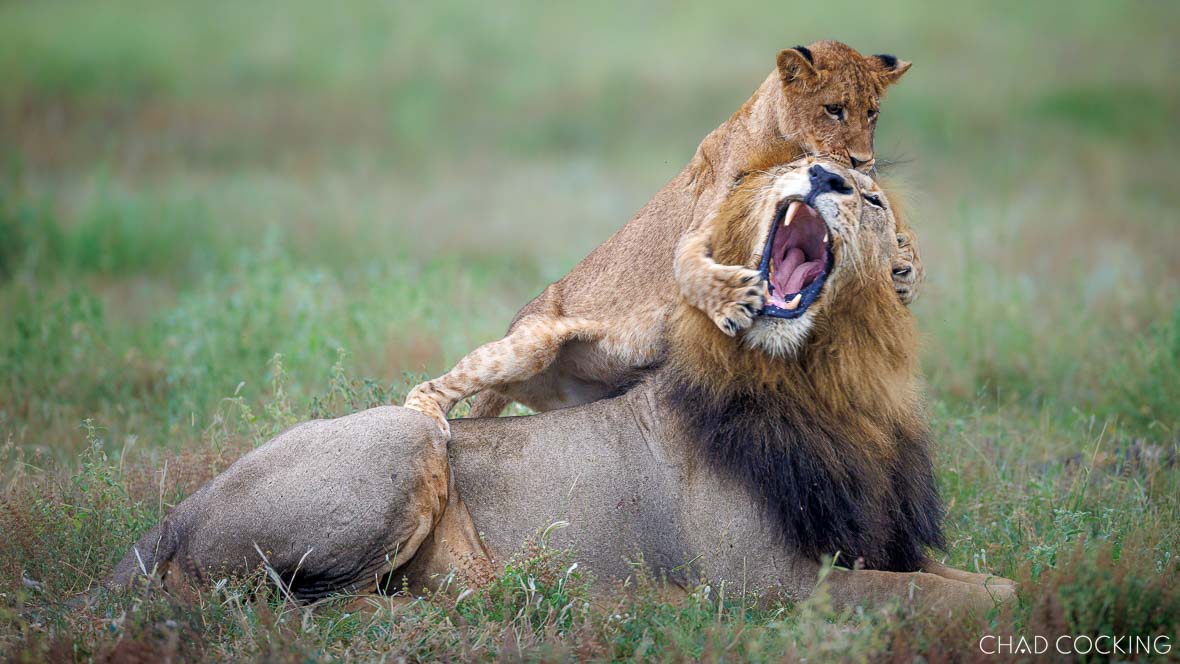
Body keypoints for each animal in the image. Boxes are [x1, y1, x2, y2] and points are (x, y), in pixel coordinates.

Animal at [106, 157, 1012, 615]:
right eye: (811, 171)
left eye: (871, 200)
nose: (826, 175)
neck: (827, 381)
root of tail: (181, 509)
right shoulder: (768, 585)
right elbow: (926, 601)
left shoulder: (871, 541)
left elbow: (979, 584)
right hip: (406, 438)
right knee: (290, 603)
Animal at [403, 41, 921, 435]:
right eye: (834, 110)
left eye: (872, 114)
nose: (862, 161)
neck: (777, 138)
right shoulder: (701, 225)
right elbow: (689, 267)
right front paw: (731, 301)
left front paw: (906, 269)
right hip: (530, 345)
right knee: (431, 385)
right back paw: (426, 416)